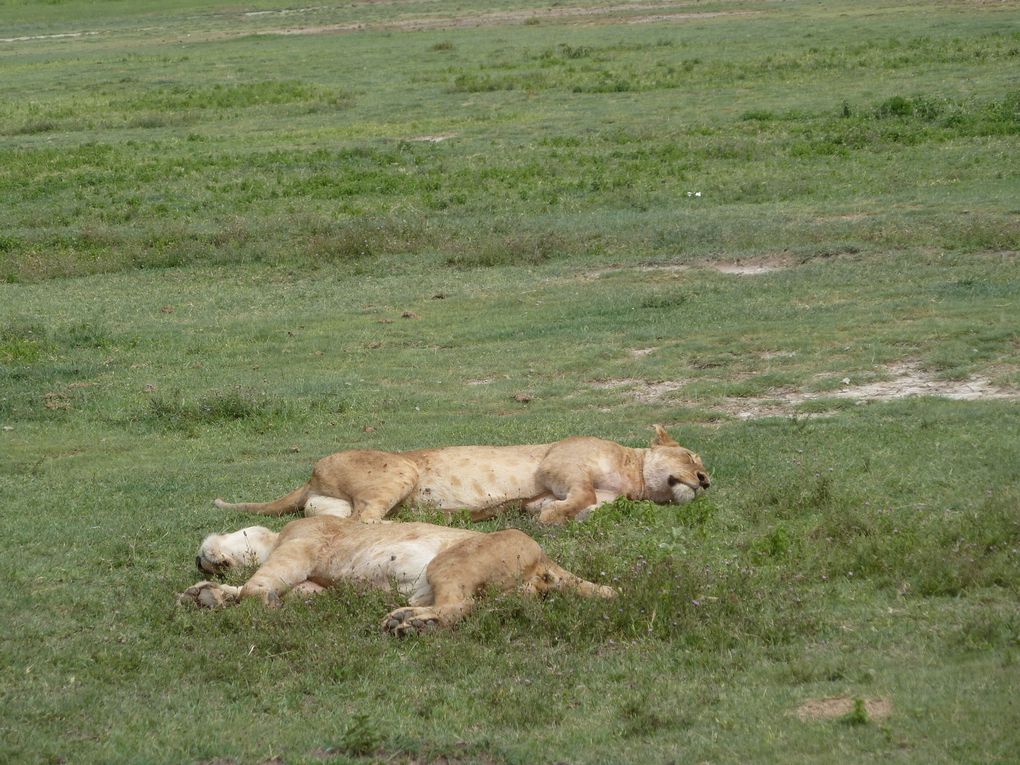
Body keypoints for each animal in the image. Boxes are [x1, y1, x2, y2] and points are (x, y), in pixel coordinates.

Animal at [177, 518, 612, 636]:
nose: (198, 559)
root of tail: (545, 557)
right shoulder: (312, 587)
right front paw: (205, 595)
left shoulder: (301, 544)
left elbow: (256, 586)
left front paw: (225, 595)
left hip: (453, 560)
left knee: (462, 606)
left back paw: (411, 623)